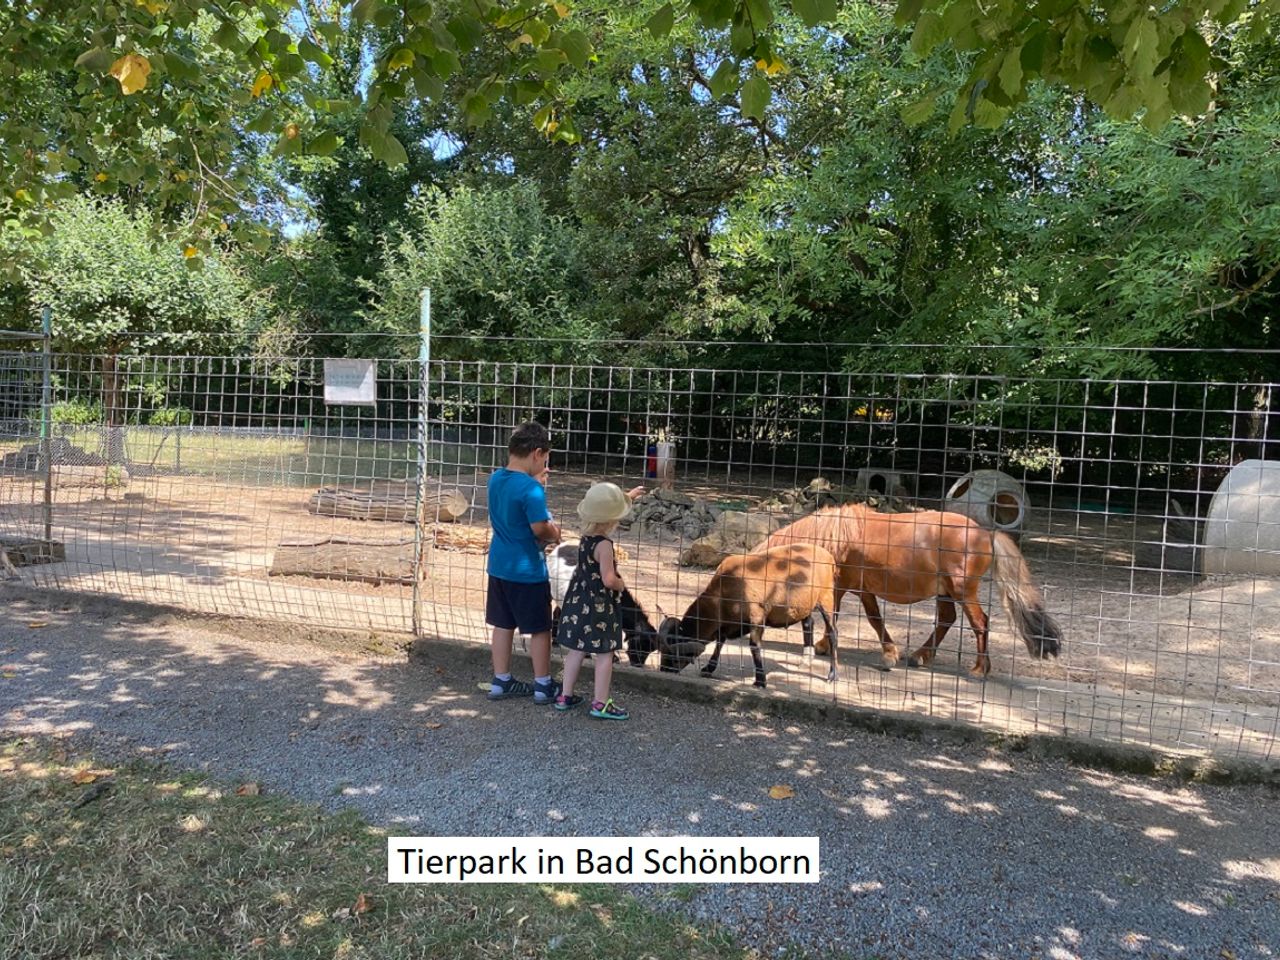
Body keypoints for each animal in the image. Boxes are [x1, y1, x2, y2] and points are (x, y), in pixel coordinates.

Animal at [655, 545, 844, 686]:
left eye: (673, 655)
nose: (664, 670)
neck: (724, 591)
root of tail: (828, 556)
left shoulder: (757, 617)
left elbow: (754, 646)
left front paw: (760, 681)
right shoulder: (726, 623)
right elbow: (720, 642)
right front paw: (708, 669)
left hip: (827, 597)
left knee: (833, 632)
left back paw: (833, 674)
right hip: (804, 604)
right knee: (808, 624)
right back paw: (806, 662)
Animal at [757, 504, 1059, 675]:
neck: (832, 537)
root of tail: (987, 534)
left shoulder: (841, 587)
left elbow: (849, 617)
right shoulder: (863, 590)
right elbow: (873, 619)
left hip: (962, 592)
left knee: (979, 623)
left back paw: (979, 669)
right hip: (945, 592)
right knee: (946, 620)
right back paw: (920, 656)